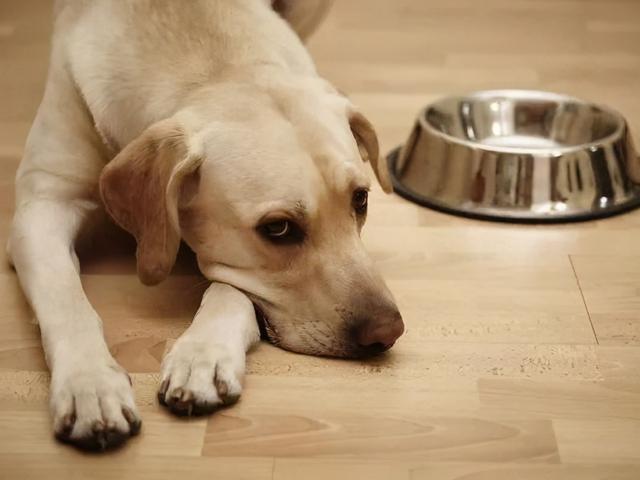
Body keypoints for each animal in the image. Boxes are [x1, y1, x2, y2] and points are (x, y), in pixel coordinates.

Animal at [7, 0, 402, 450]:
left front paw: (203, 355)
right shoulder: (42, 207)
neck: (214, 65)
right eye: (278, 229)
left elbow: (231, 290)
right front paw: (90, 384)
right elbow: (66, 300)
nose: (388, 331)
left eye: (361, 199)